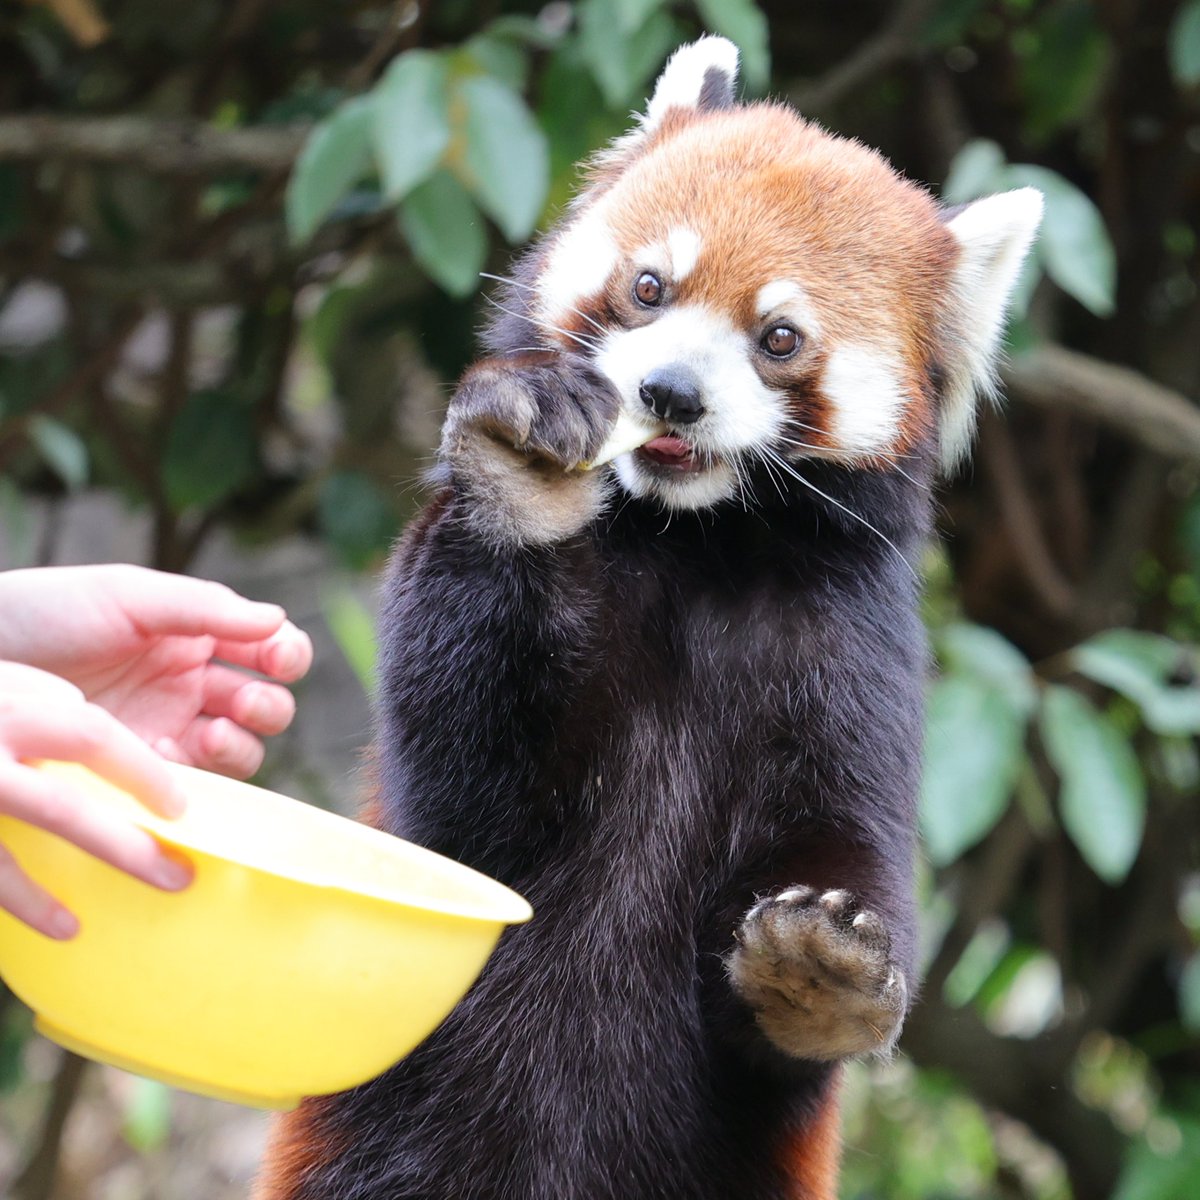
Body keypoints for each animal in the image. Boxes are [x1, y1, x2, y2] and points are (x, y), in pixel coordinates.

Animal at [255, 35, 1041, 1200]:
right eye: (648, 287)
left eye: (778, 337)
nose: (670, 393)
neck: (691, 546)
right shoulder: (470, 785)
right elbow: (467, 788)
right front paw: (526, 473)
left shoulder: (853, 645)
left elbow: (842, 840)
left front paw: (819, 975)